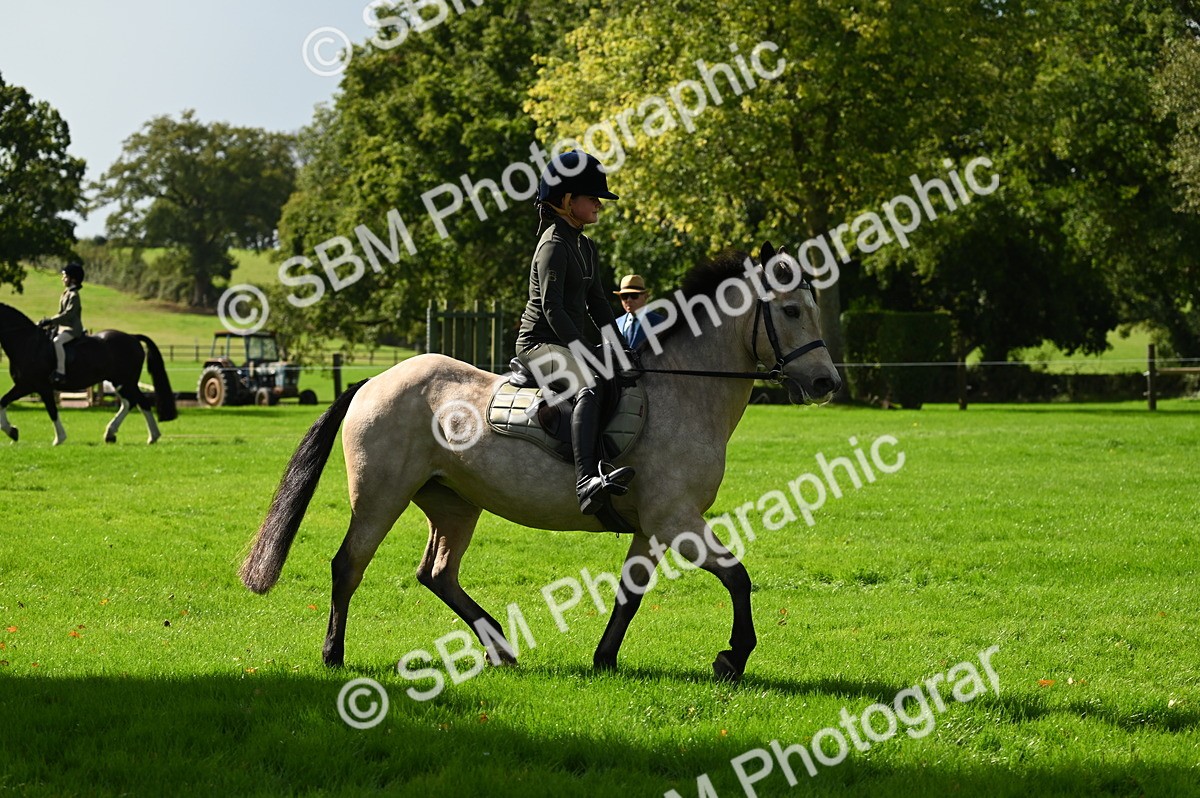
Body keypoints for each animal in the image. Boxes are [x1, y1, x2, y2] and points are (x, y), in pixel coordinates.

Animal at [0, 303, 178, 445]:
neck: (27, 343)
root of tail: (132, 337)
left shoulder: (37, 386)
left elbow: (52, 411)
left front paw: (59, 439)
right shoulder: (25, 385)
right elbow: (3, 401)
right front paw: (12, 432)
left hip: (126, 381)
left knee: (139, 402)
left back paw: (151, 436)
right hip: (119, 381)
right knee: (131, 402)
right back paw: (114, 434)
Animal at [239, 242, 842, 681]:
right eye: (791, 309)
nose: (826, 383)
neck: (684, 388)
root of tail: (374, 382)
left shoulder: (653, 525)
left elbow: (629, 595)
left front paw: (604, 659)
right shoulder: (677, 519)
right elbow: (738, 577)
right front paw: (732, 657)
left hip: (454, 504)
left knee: (437, 574)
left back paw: (500, 648)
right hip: (380, 497)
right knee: (349, 565)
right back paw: (334, 655)